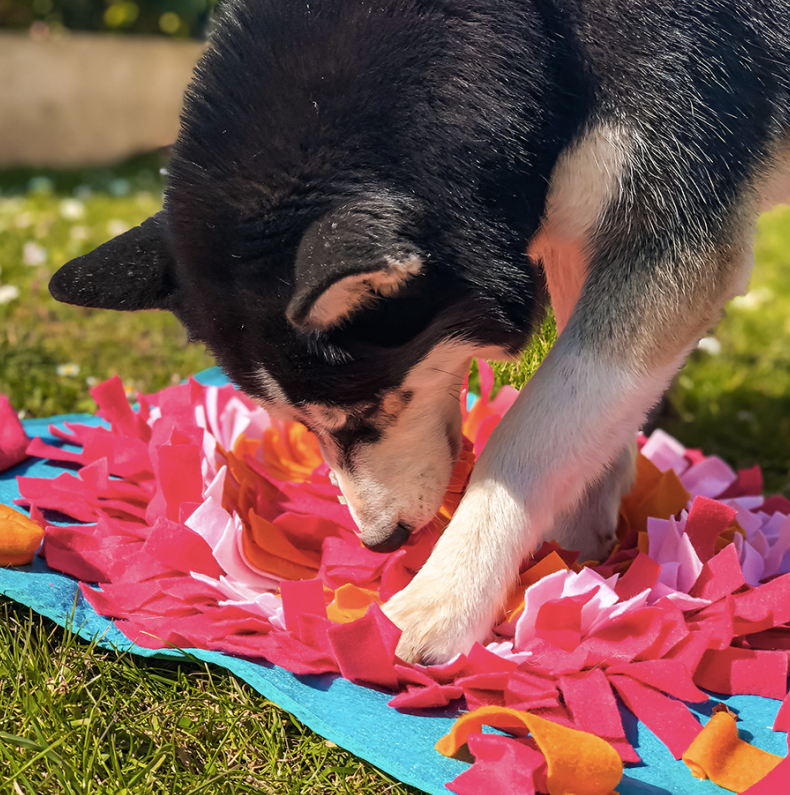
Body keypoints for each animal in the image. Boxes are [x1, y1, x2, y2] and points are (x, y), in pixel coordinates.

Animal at [49, 1, 790, 664]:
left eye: (365, 411)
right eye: (299, 425)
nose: (381, 542)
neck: (535, 29)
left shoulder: (672, 231)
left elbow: (532, 430)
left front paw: (446, 595)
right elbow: (588, 416)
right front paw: (584, 537)